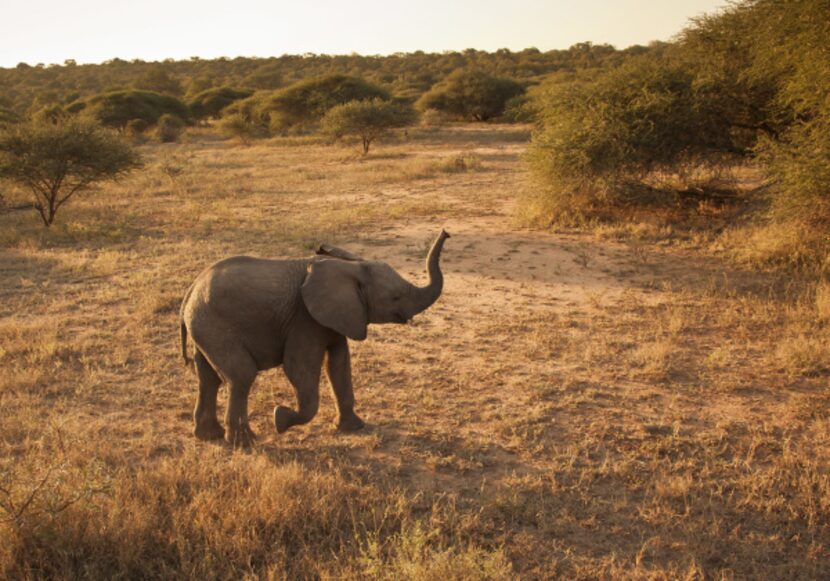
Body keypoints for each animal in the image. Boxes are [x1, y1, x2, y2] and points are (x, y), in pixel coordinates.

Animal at [180, 229, 452, 446]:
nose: (446, 232)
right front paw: (280, 419)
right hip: (214, 325)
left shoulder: (335, 318)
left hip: (204, 327)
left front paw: (354, 428)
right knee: (241, 375)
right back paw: (245, 443)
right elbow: (299, 369)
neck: (352, 267)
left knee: (208, 377)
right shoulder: (304, 320)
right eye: (395, 297)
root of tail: (191, 290)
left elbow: (339, 365)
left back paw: (209, 436)